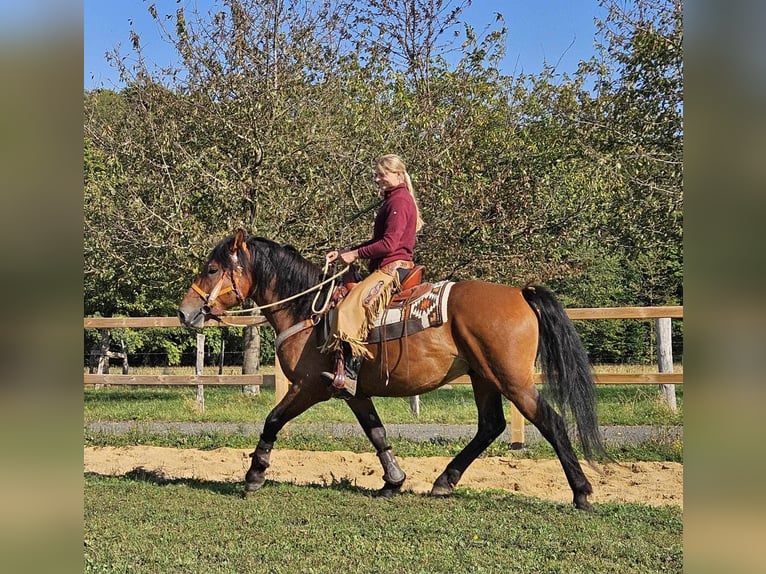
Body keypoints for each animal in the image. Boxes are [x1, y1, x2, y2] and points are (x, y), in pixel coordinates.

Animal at [178, 230, 608, 512]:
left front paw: (254, 475)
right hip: (484, 377)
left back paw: (582, 492)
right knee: (490, 426)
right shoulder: (353, 392)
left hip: (511, 380)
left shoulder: (308, 387)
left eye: (213, 269)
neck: (308, 312)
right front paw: (394, 480)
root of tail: (520, 292)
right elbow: (377, 432)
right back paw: (444, 481)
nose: (185, 312)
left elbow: (272, 420)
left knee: (550, 421)